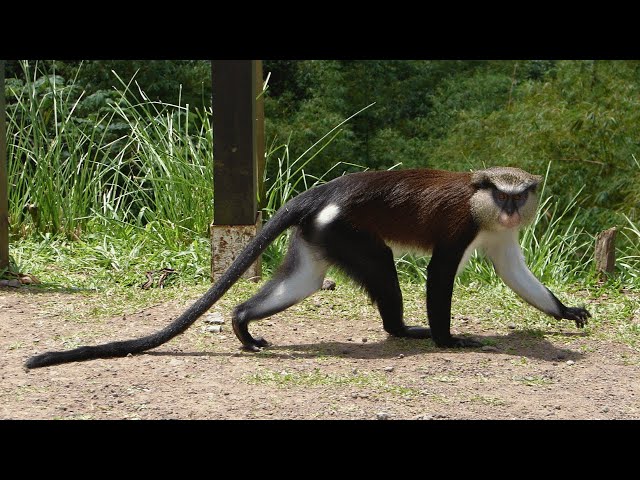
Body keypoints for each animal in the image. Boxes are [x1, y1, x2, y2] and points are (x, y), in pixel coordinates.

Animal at [25, 166, 591, 369]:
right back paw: (402, 329)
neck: (483, 208)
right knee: (382, 266)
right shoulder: (460, 229)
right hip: (345, 230)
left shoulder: (500, 235)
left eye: (518, 195)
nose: (512, 208)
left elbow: (516, 274)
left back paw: (241, 323)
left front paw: (565, 312)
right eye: (501, 193)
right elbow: (439, 276)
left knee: (305, 280)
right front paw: (448, 341)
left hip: (320, 234)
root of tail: (322, 193)